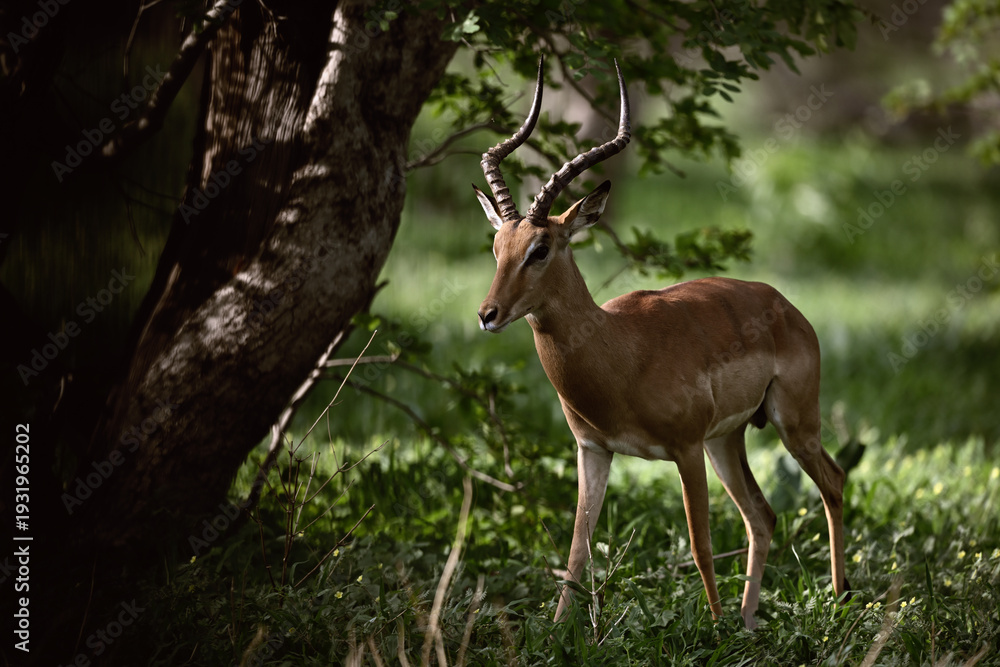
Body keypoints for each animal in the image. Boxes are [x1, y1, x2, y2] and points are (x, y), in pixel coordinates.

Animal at [472, 58, 848, 629]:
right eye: (497, 245)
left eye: (540, 248)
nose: (487, 314)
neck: (619, 352)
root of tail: (785, 306)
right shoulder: (594, 450)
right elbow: (576, 550)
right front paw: (556, 630)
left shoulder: (684, 449)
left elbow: (699, 545)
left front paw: (712, 630)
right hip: (728, 439)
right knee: (762, 514)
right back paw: (748, 621)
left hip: (792, 424)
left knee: (834, 483)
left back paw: (839, 600)